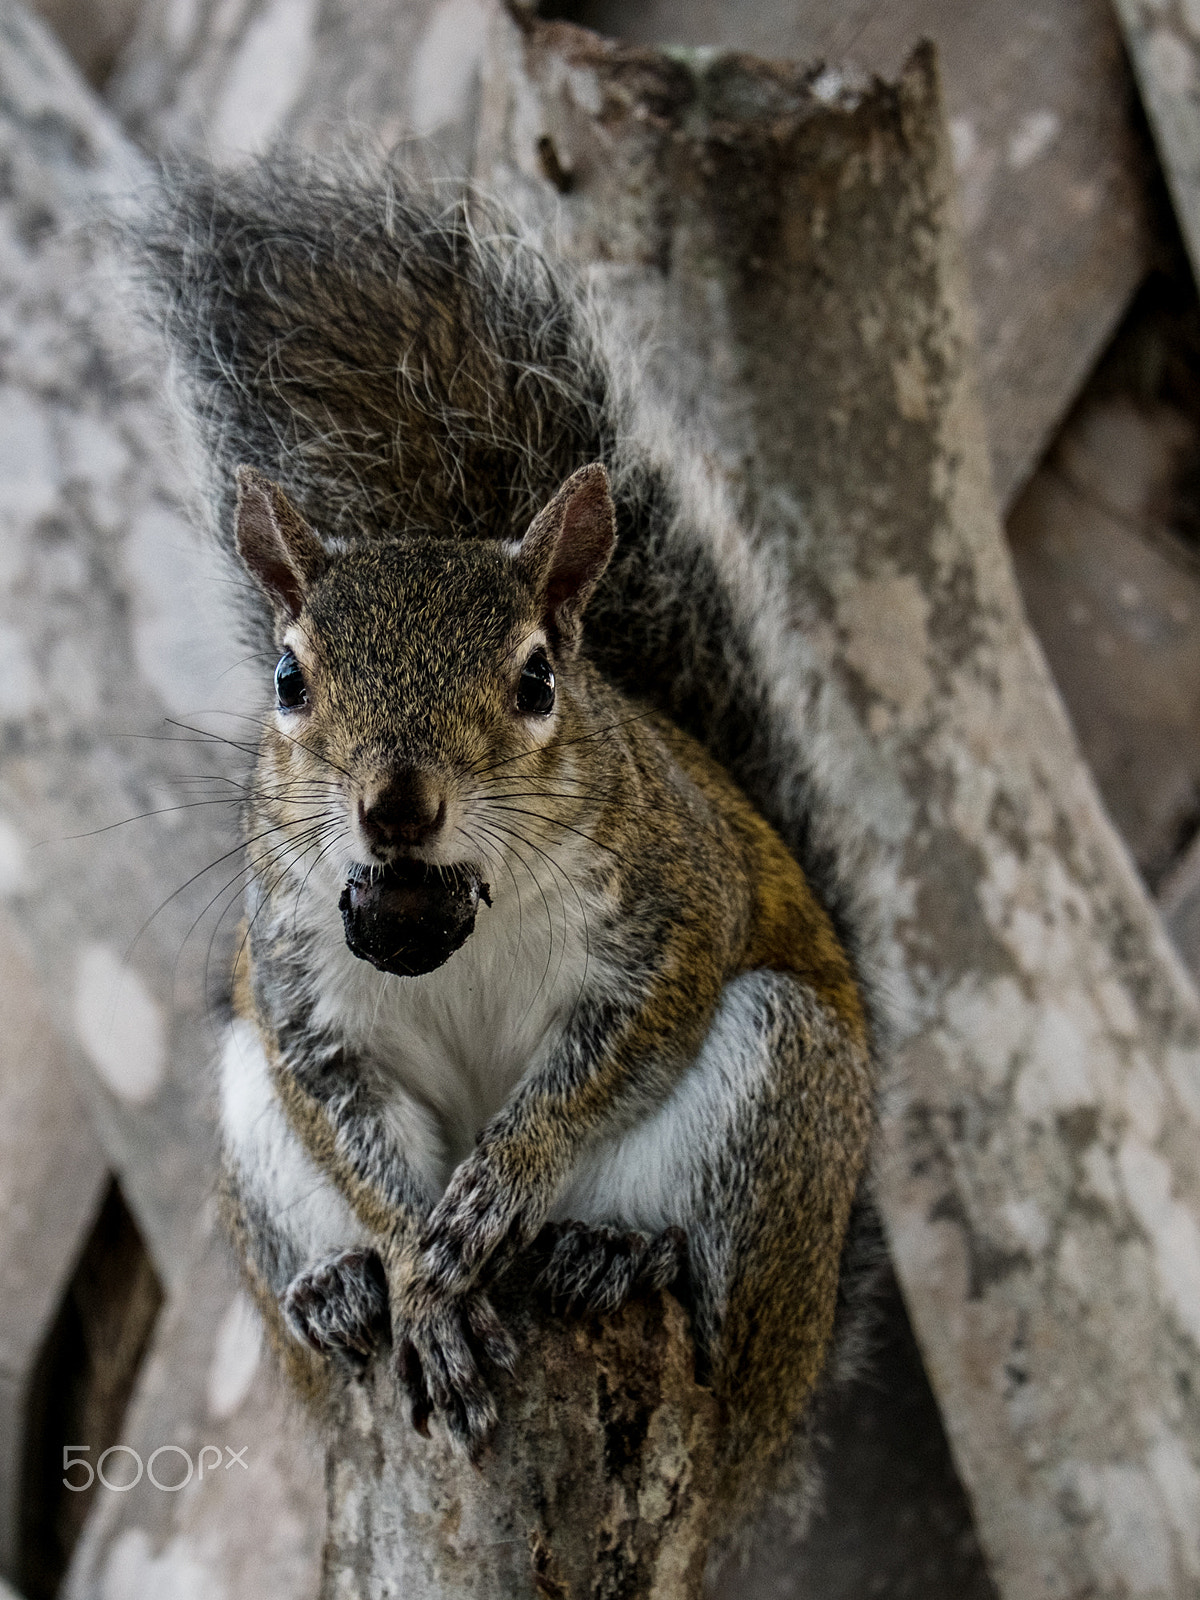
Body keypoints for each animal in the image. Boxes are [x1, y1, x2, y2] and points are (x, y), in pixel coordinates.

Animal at [131, 156, 876, 1529]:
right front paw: (418, 1280)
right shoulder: (307, 1001)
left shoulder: (670, 909)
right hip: (245, 1106)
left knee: (707, 1306)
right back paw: (339, 1293)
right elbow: (358, 1136)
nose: (395, 805)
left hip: (781, 1094)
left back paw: (617, 1253)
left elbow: (608, 1055)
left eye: (537, 681)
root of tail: (777, 1431)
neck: (446, 908)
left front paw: (502, 1184)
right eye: (288, 678)